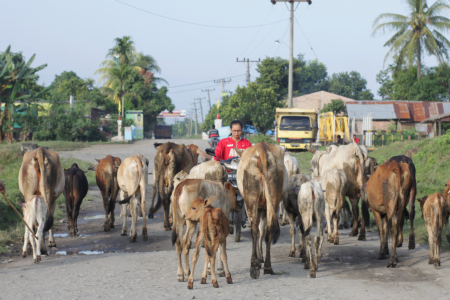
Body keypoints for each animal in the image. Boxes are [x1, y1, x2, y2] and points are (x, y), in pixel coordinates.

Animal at [236, 143, 288, 278]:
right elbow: (262, 229)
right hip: (272, 199)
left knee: (254, 229)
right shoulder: (264, 207)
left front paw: (259, 258)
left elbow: (259, 229)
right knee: (269, 229)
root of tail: (262, 149)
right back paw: (268, 267)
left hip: (251, 198)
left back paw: (254, 264)